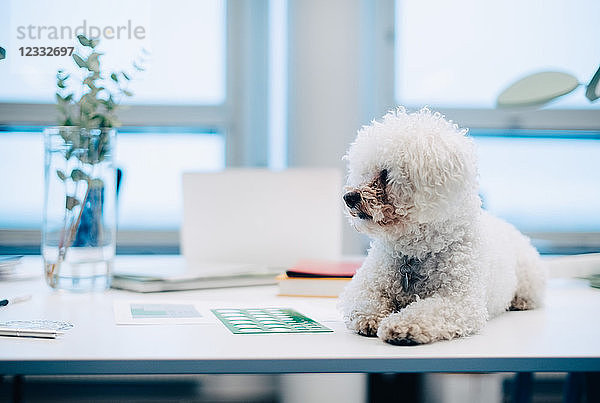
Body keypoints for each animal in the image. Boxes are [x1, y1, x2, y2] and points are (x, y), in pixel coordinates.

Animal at [340, 108, 548, 348]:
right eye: (363, 172)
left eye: (385, 173)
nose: (348, 197)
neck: (414, 253)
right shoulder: (365, 286)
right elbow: (365, 302)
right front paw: (372, 318)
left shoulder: (459, 301)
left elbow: (428, 310)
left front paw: (402, 325)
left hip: (529, 278)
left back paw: (519, 302)